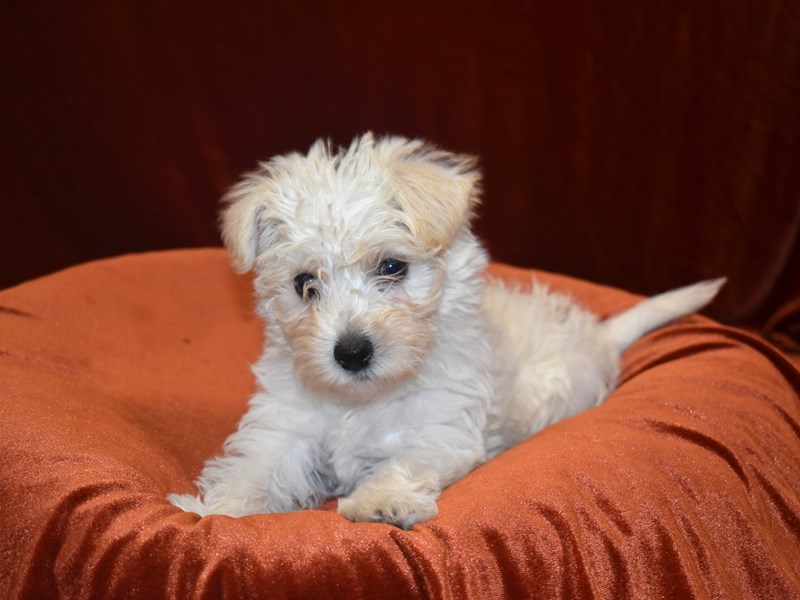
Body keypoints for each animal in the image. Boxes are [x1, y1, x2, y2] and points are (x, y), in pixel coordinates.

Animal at [169, 134, 724, 528]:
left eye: (392, 267)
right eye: (305, 284)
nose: (351, 352)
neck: (363, 399)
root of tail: (599, 337)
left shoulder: (441, 428)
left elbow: (406, 461)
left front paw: (381, 501)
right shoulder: (286, 425)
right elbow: (257, 467)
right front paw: (216, 511)